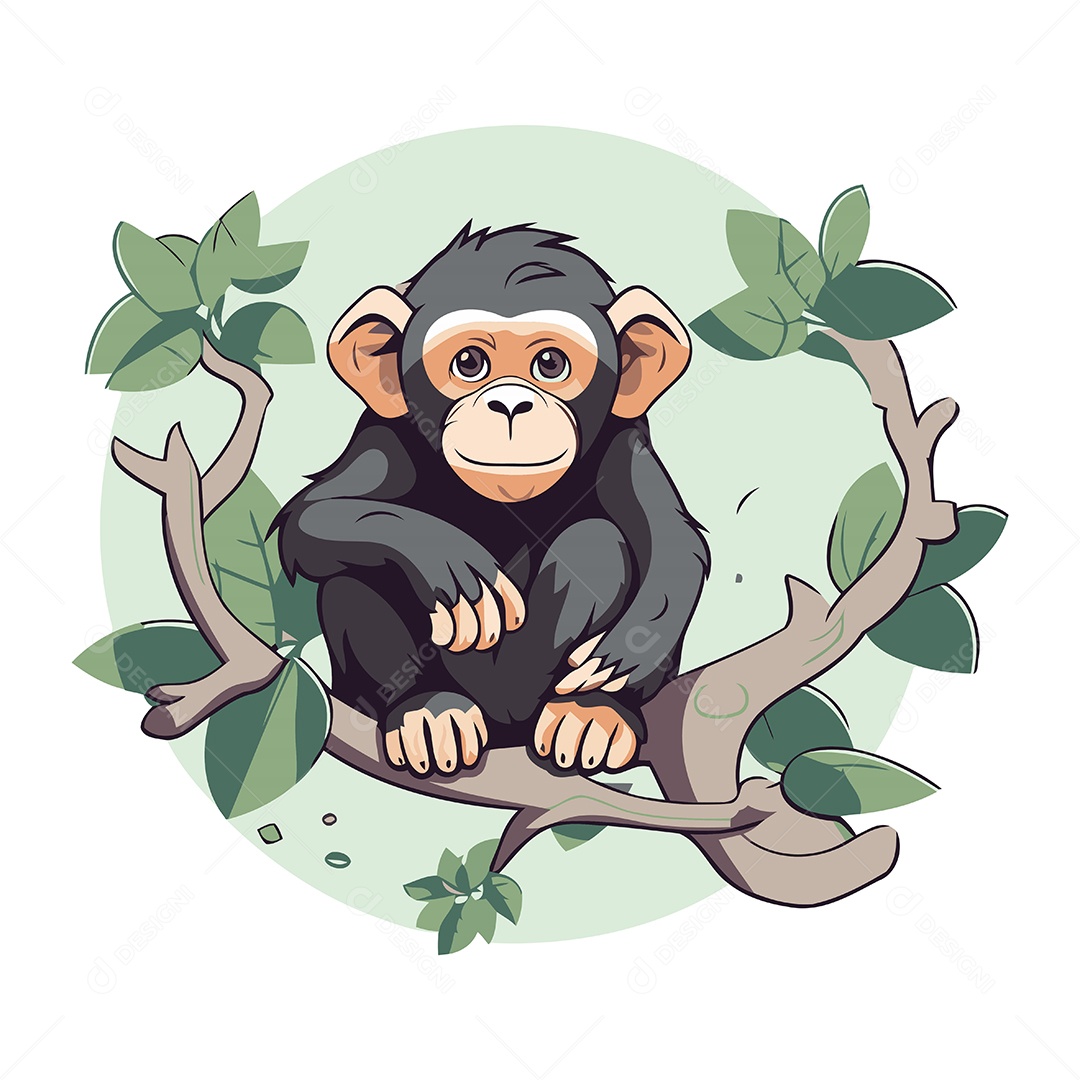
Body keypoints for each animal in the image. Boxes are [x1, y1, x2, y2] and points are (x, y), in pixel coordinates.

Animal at [273, 223, 709, 779]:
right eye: (469, 363)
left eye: (550, 364)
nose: (510, 403)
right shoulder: (383, 434)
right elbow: (314, 514)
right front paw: (446, 561)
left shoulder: (627, 441)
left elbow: (672, 544)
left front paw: (628, 651)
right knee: (354, 574)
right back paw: (427, 711)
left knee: (597, 541)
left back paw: (592, 713)